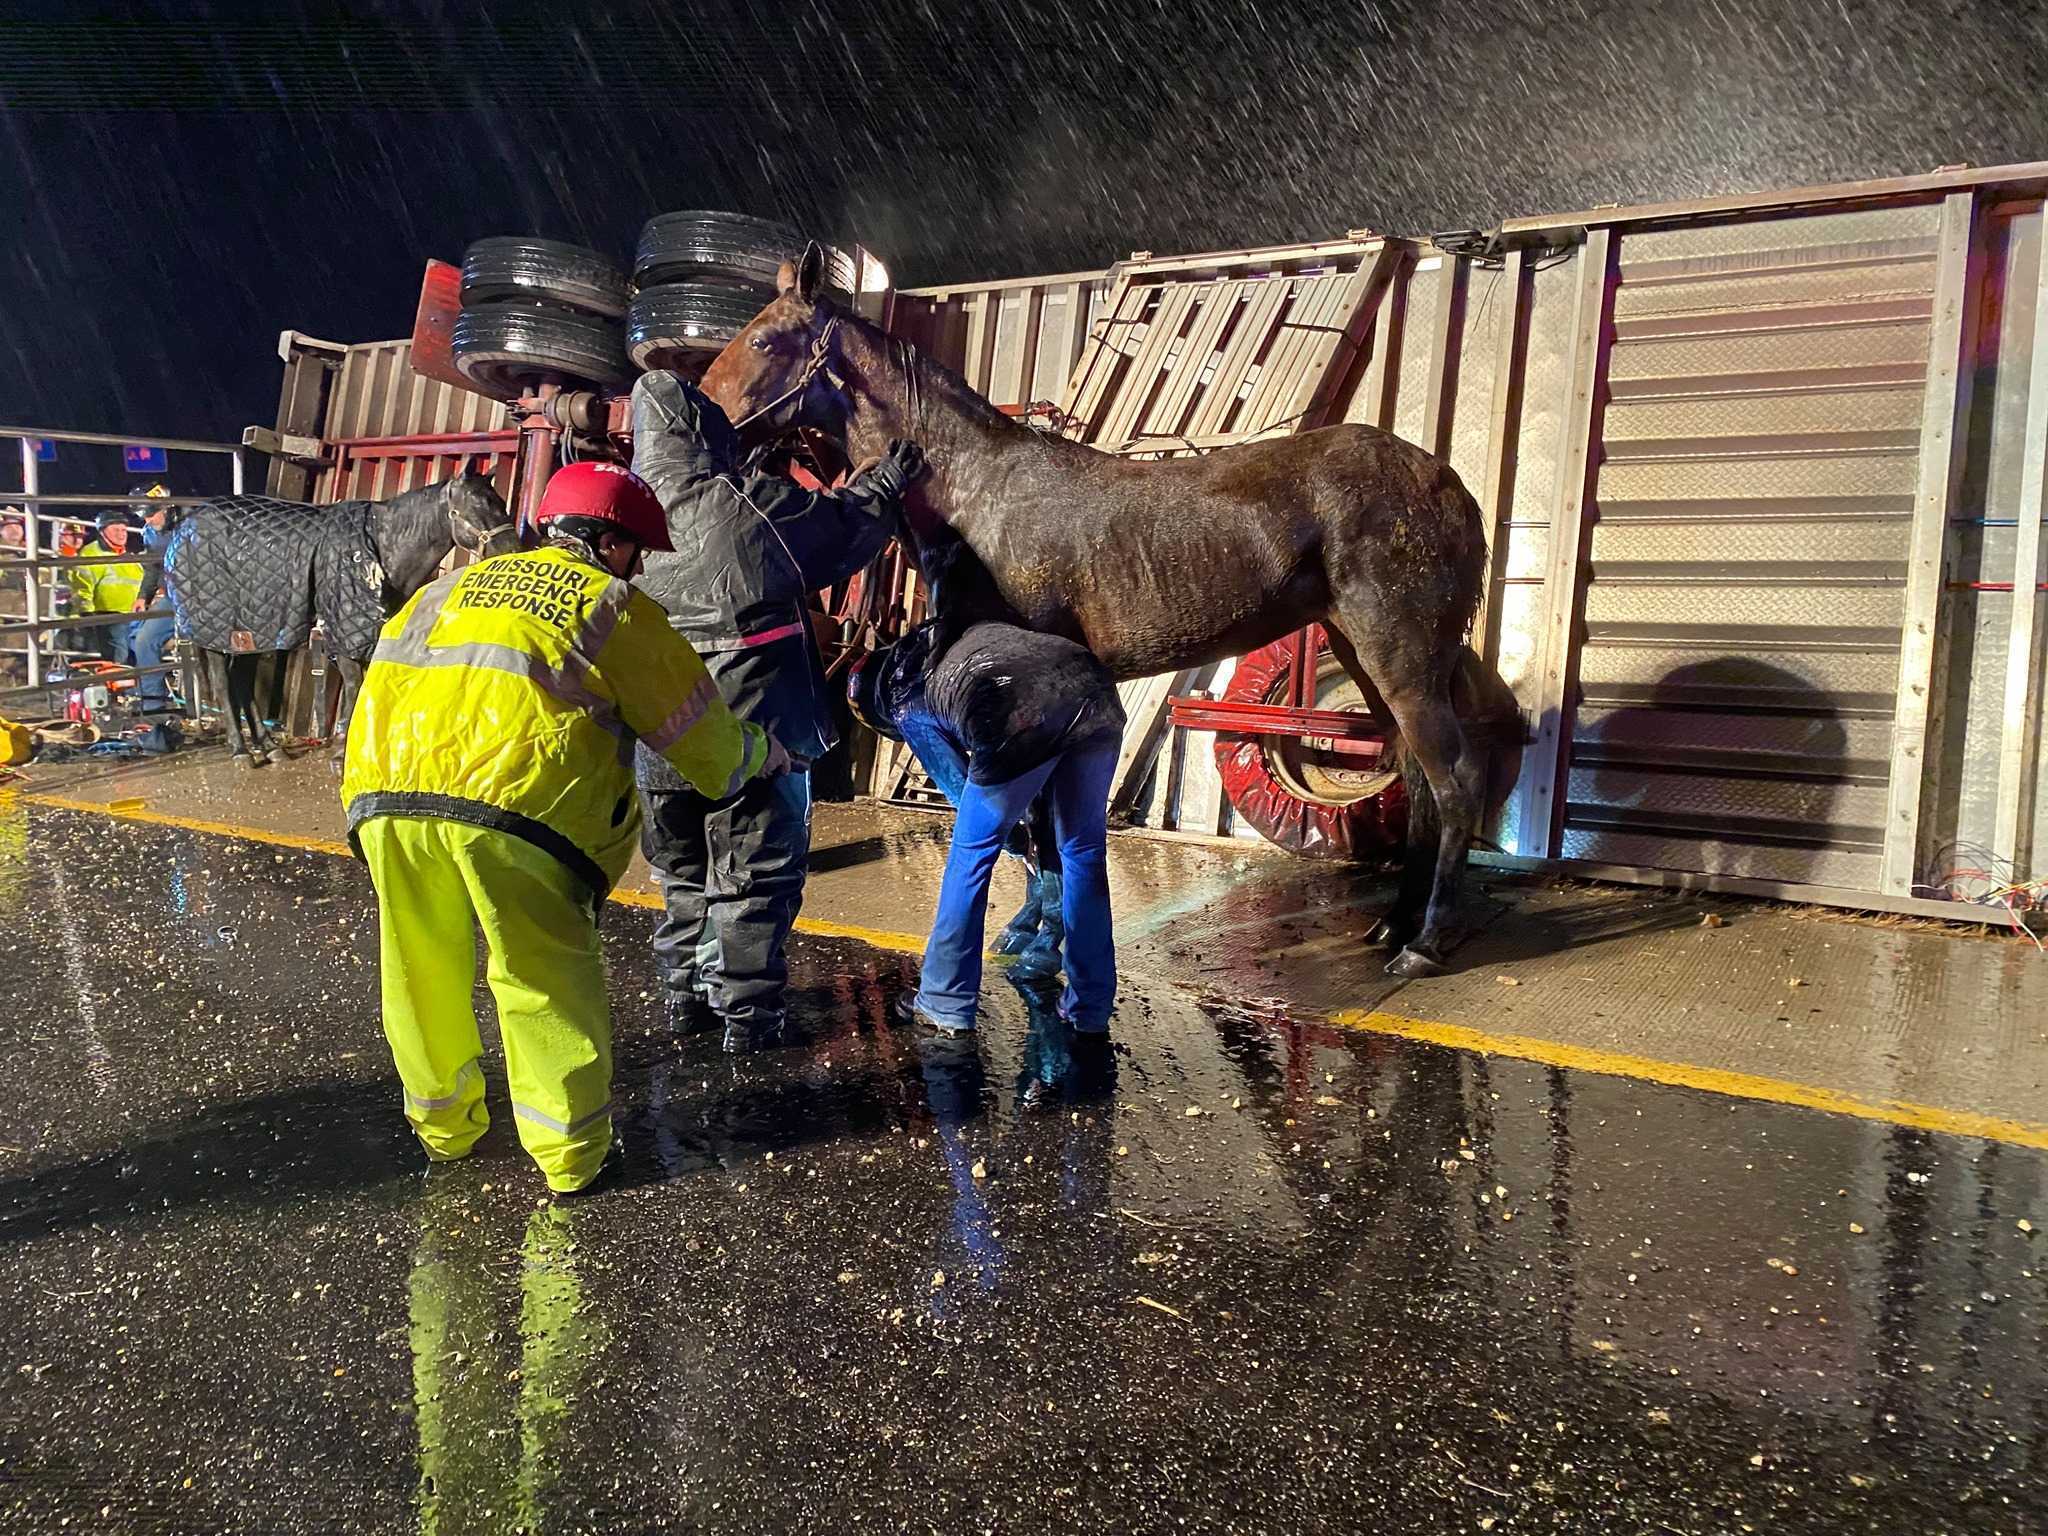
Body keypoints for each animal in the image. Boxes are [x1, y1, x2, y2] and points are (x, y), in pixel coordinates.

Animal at [164, 473, 516, 765]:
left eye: (499, 501)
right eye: (476, 502)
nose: (514, 547)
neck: (379, 548)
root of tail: (185, 523)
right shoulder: (345, 637)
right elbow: (355, 688)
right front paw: (343, 753)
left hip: (254, 626)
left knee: (242, 680)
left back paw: (270, 748)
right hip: (218, 627)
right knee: (223, 682)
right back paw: (241, 750)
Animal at [704, 247, 1490, 978]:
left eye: (766, 340)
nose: (705, 417)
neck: (980, 495)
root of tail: (1447, 482)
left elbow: (1038, 822)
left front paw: (1045, 941)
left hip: (1402, 658)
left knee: (1454, 782)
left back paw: (1425, 944)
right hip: (1369, 656)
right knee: (1419, 779)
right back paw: (1394, 924)